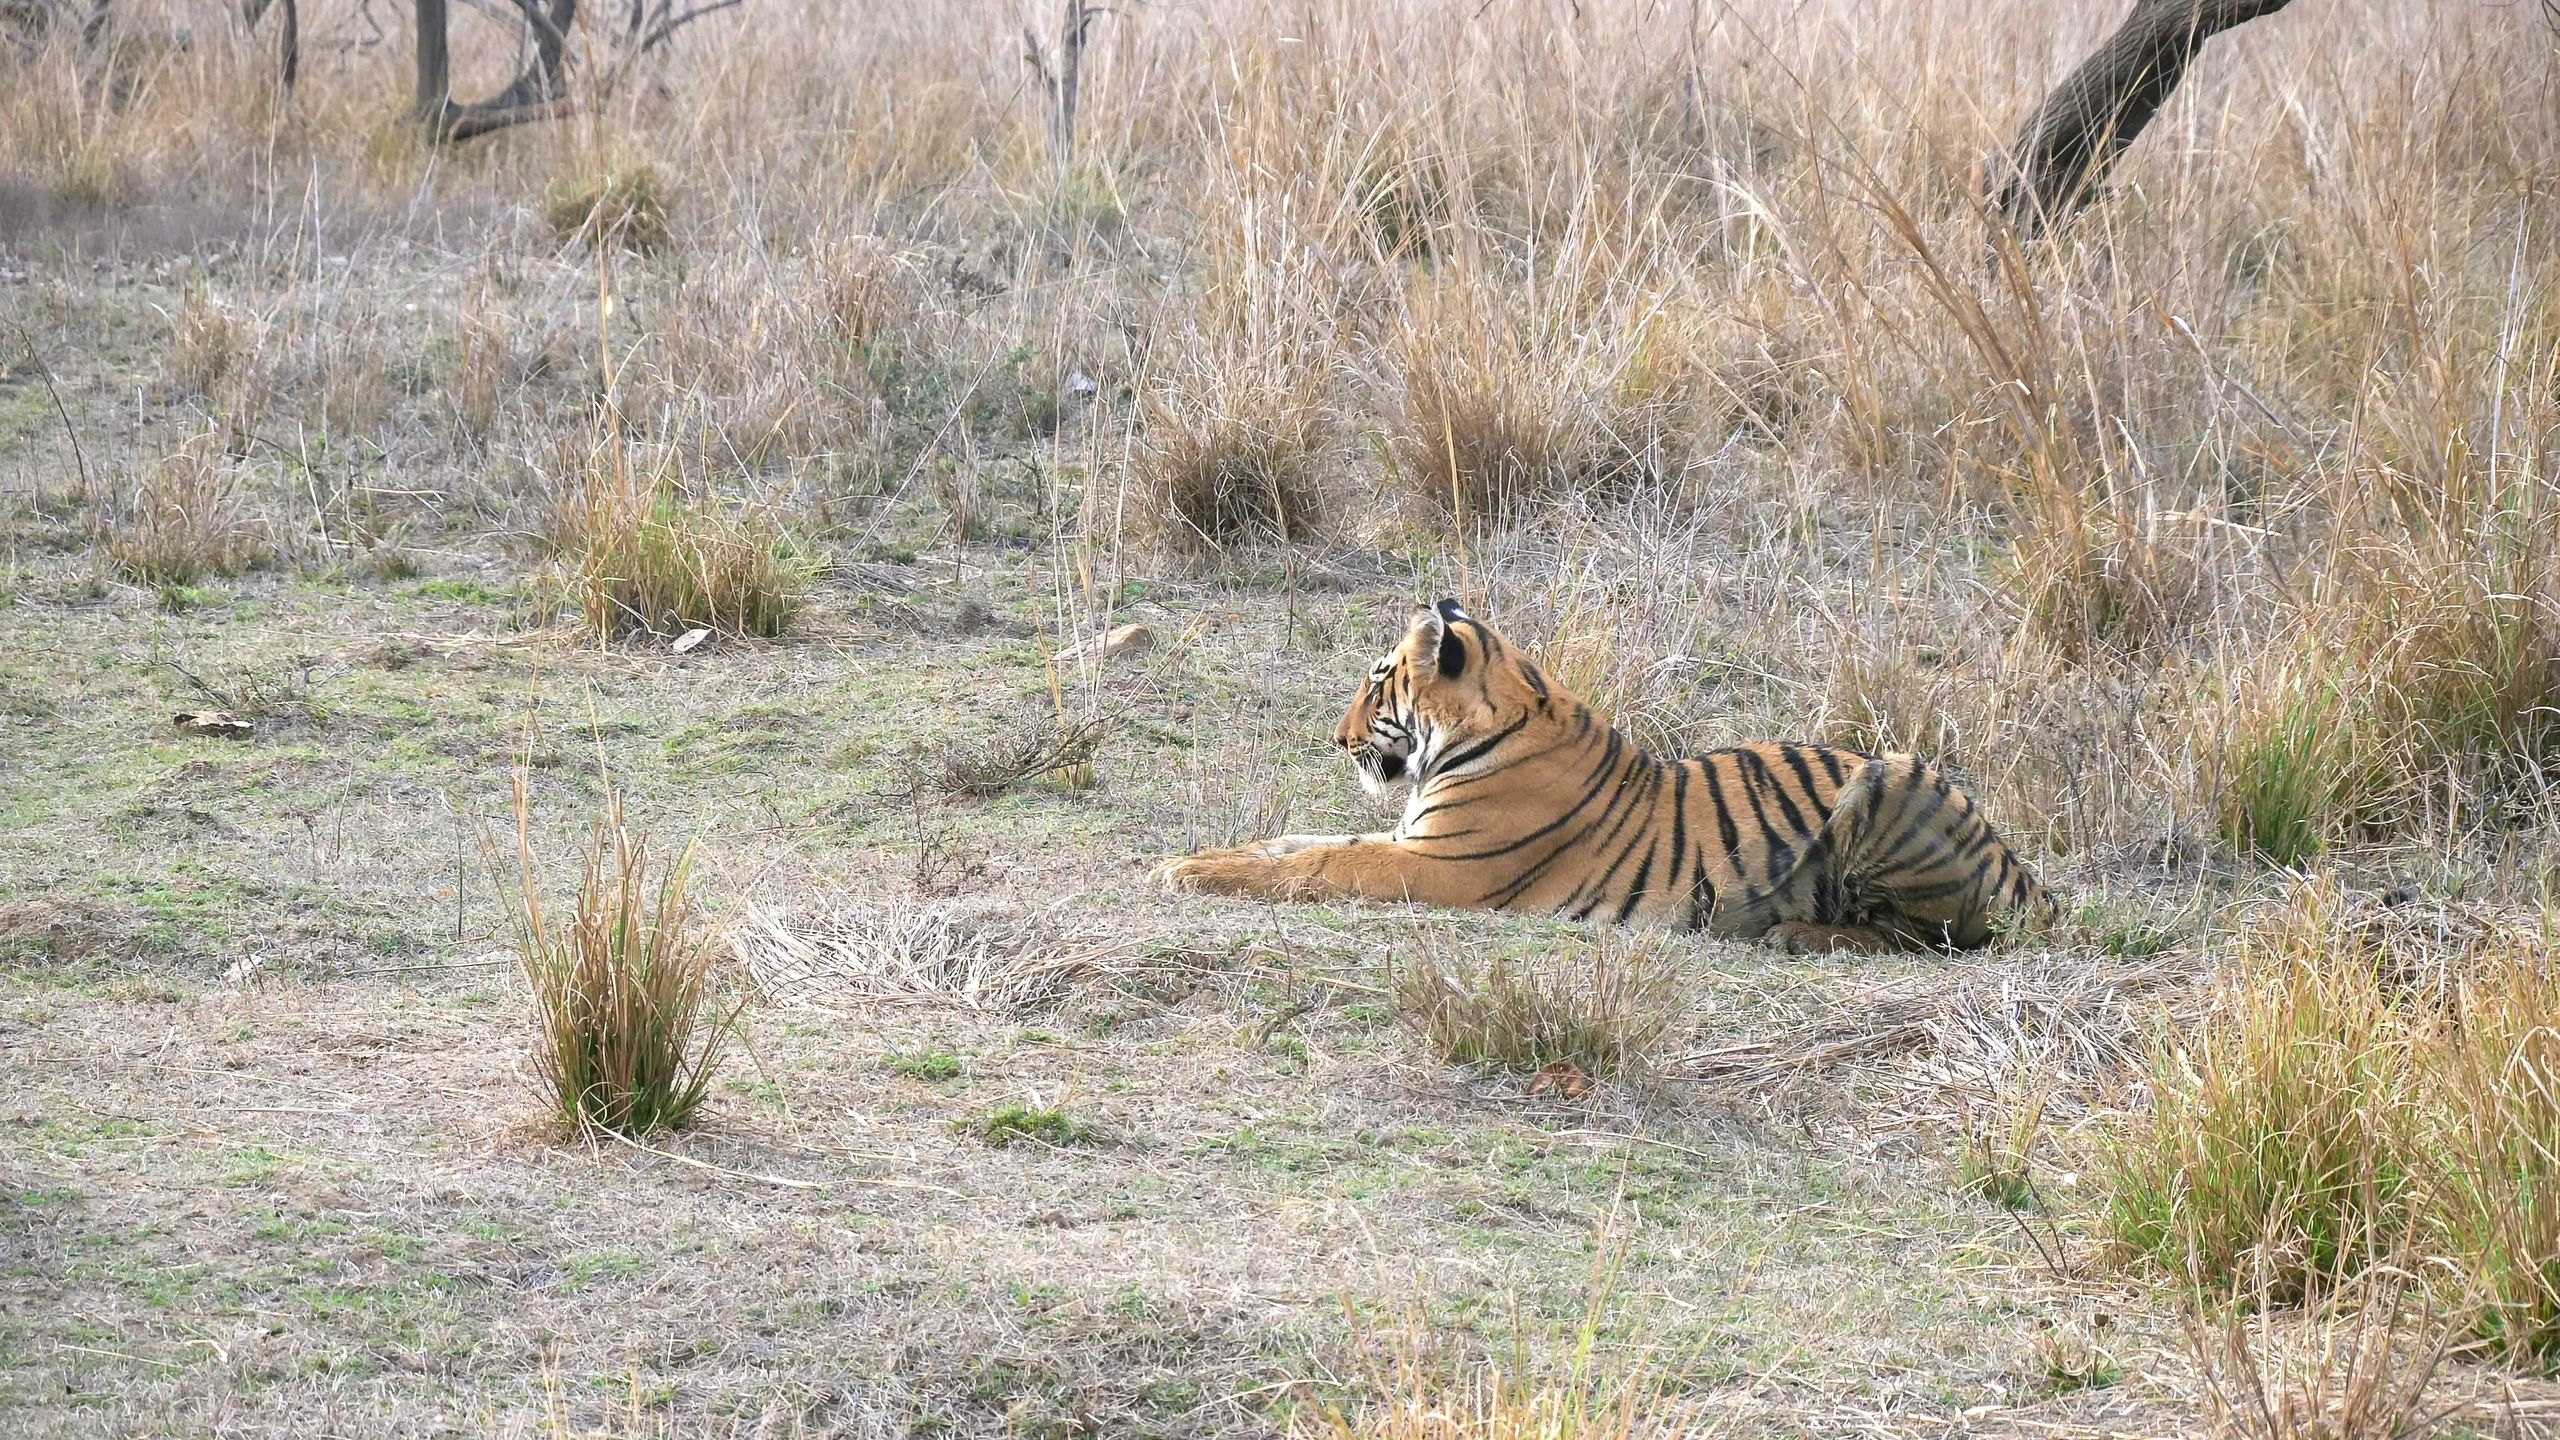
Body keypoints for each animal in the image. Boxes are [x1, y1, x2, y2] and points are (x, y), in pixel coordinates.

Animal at [1153, 600, 2056, 952]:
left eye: (1378, 682)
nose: (1336, 739)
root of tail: (2022, 868)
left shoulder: (1440, 865)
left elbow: (1319, 860)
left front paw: (1188, 873)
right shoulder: (1408, 838)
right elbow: (1290, 842)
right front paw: (1187, 861)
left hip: (1891, 780)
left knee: (1932, 936)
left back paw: (1797, 934)